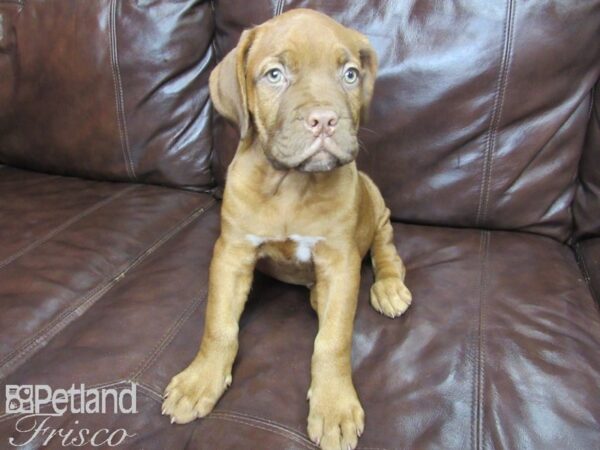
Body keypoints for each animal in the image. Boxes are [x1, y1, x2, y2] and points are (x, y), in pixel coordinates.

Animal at [162, 9, 410, 450]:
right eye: (274, 75)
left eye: (350, 74)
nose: (325, 120)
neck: (292, 185)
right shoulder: (232, 254)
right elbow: (218, 325)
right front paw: (200, 380)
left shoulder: (340, 263)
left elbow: (333, 340)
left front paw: (334, 407)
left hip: (375, 201)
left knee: (386, 249)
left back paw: (389, 288)